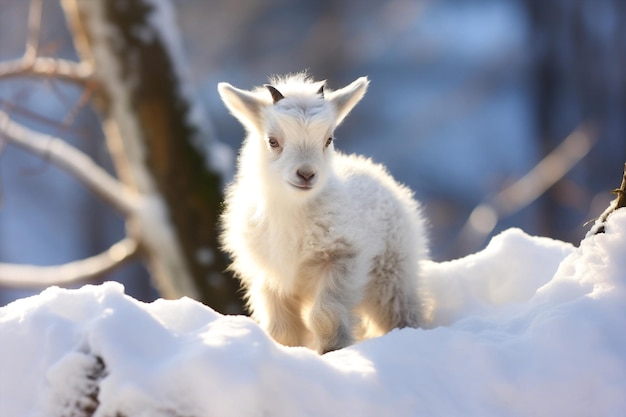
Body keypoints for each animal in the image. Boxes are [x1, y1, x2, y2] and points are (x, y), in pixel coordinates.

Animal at [217, 74, 426, 352]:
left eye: (328, 139)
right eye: (273, 141)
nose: (306, 174)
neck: (292, 210)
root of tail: (377, 172)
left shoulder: (342, 259)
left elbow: (324, 313)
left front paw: (332, 349)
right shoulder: (270, 276)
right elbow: (282, 327)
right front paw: (288, 349)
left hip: (392, 271)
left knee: (400, 310)